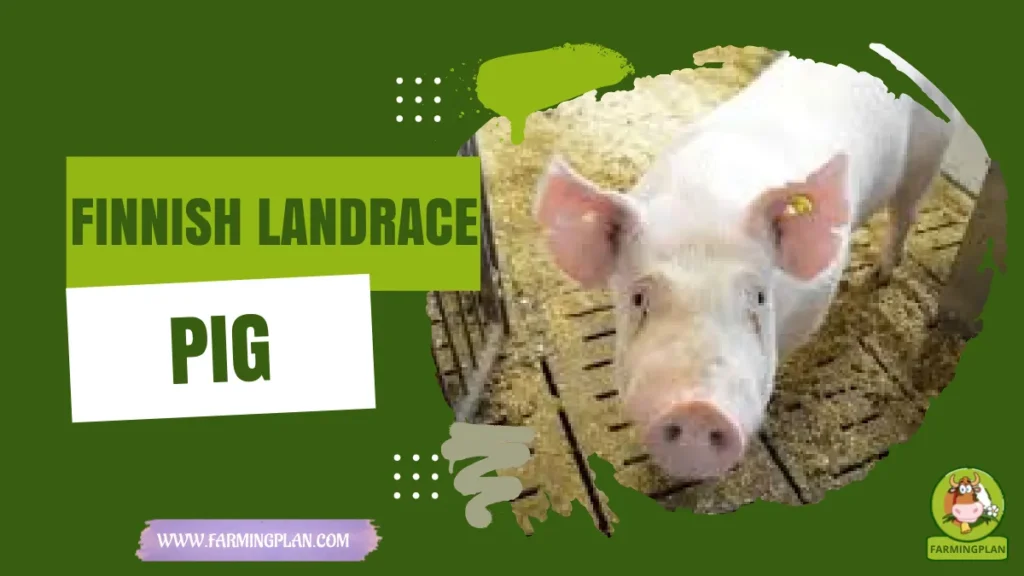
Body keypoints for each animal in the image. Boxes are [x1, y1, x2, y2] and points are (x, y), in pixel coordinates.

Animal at [533, 44, 960, 481]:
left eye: (758, 297)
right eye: (638, 298)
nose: (696, 410)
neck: (703, 198)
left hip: (927, 159)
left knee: (904, 214)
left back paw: (879, 274)